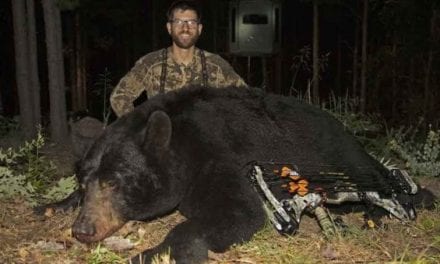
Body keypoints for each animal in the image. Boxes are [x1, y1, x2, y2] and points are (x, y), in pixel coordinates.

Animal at [37, 86, 416, 262]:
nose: (83, 230)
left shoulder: (222, 156)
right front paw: (51, 204)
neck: (183, 144)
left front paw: (148, 253)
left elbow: (236, 214)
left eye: (114, 182)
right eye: (85, 182)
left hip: (341, 153)